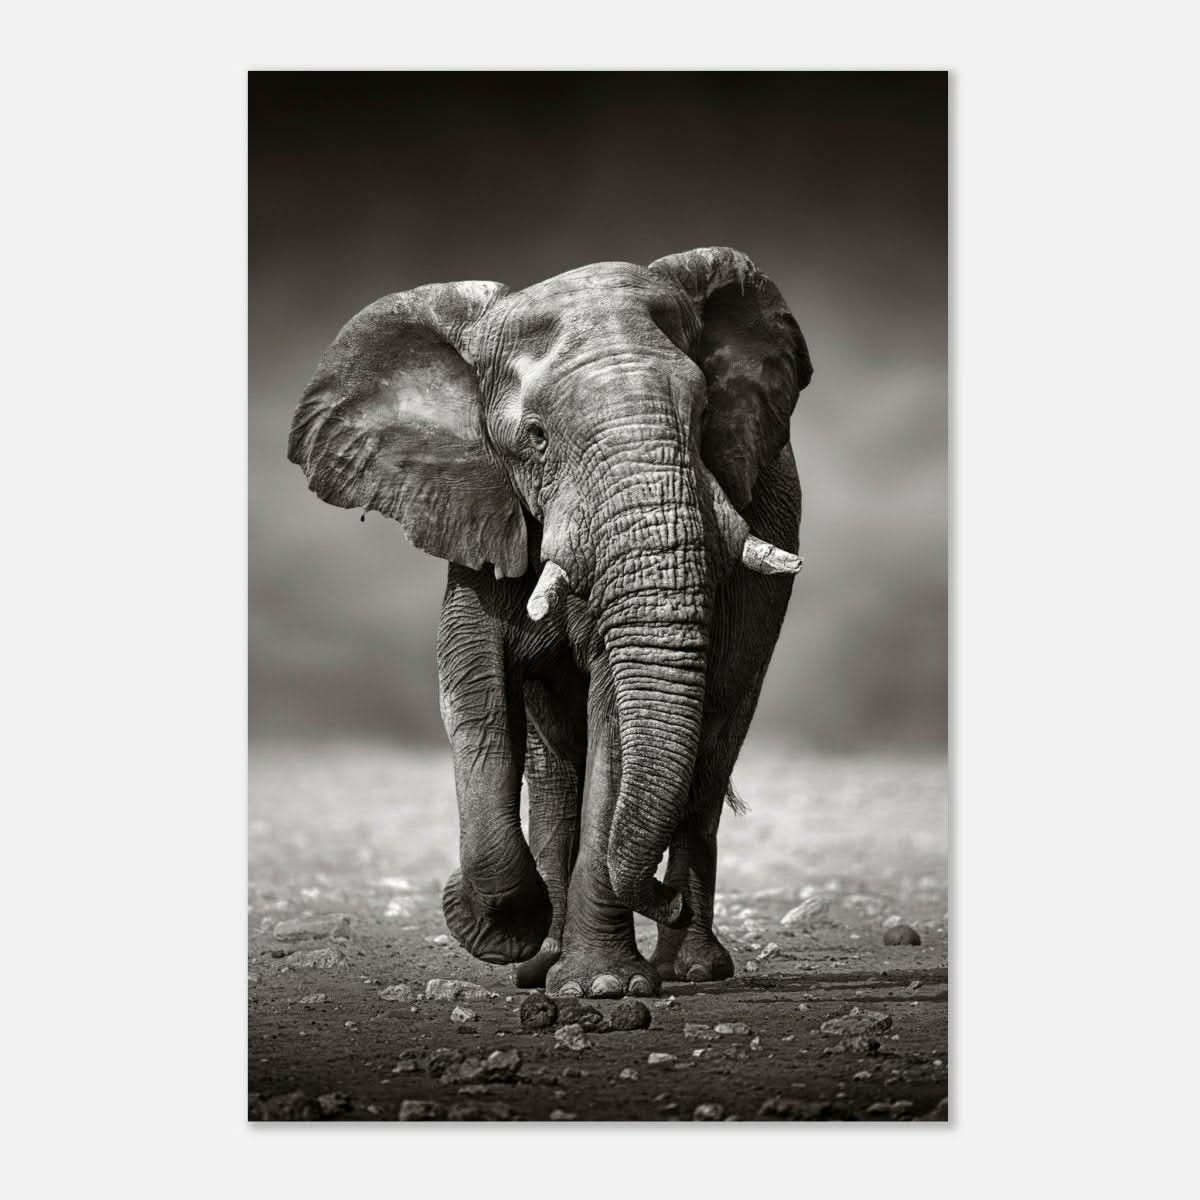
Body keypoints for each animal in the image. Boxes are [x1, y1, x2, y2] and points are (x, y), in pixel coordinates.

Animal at [287, 247, 811, 998]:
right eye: (534, 438)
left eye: (704, 412)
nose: (661, 899)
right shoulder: (478, 508)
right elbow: (474, 694)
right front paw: (500, 929)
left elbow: (614, 716)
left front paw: (603, 987)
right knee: (554, 767)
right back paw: (543, 963)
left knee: (710, 752)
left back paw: (689, 968)